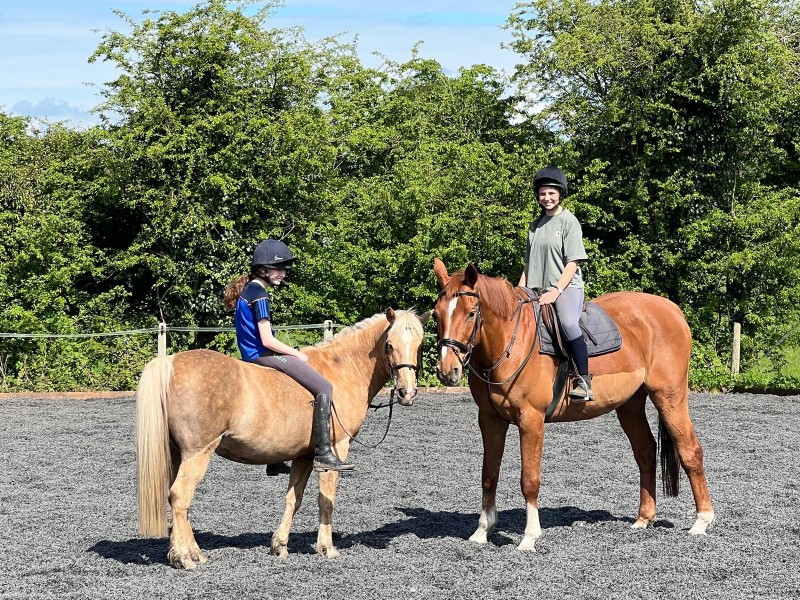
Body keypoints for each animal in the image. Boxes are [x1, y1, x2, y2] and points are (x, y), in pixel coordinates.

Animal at [134, 310, 428, 568]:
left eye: (420, 345)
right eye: (389, 345)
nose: (407, 392)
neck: (343, 368)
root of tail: (170, 362)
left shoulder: (304, 456)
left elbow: (293, 499)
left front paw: (280, 545)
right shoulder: (336, 450)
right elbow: (326, 499)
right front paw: (327, 548)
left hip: (177, 454)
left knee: (174, 498)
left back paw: (190, 553)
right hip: (198, 452)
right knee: (180, 496)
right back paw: (185, 558)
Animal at [434, 260, 716, 552]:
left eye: (471, 313)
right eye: (435, 315)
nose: (447, 371)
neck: (510, 342)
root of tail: (673, 310)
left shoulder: (531, 420)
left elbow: (530, 480)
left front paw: (529, 537)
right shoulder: (490, 420)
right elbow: (489, 475)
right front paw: (482, 531)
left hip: (669, 396)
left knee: (690, 450)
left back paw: (702, 521)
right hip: (630, 405)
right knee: (646, 452)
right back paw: (644, 519)